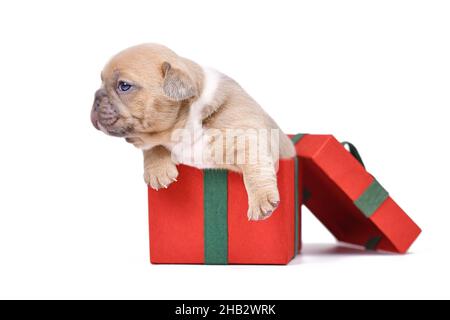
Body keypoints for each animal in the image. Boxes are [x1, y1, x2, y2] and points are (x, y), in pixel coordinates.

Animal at [91, 44, 296, 220]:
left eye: (124, 86)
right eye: (100, 82)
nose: (96, 97)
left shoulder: (247, 136)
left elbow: (254, 165)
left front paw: (261, 199)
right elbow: (153, 147)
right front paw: (158, 171)